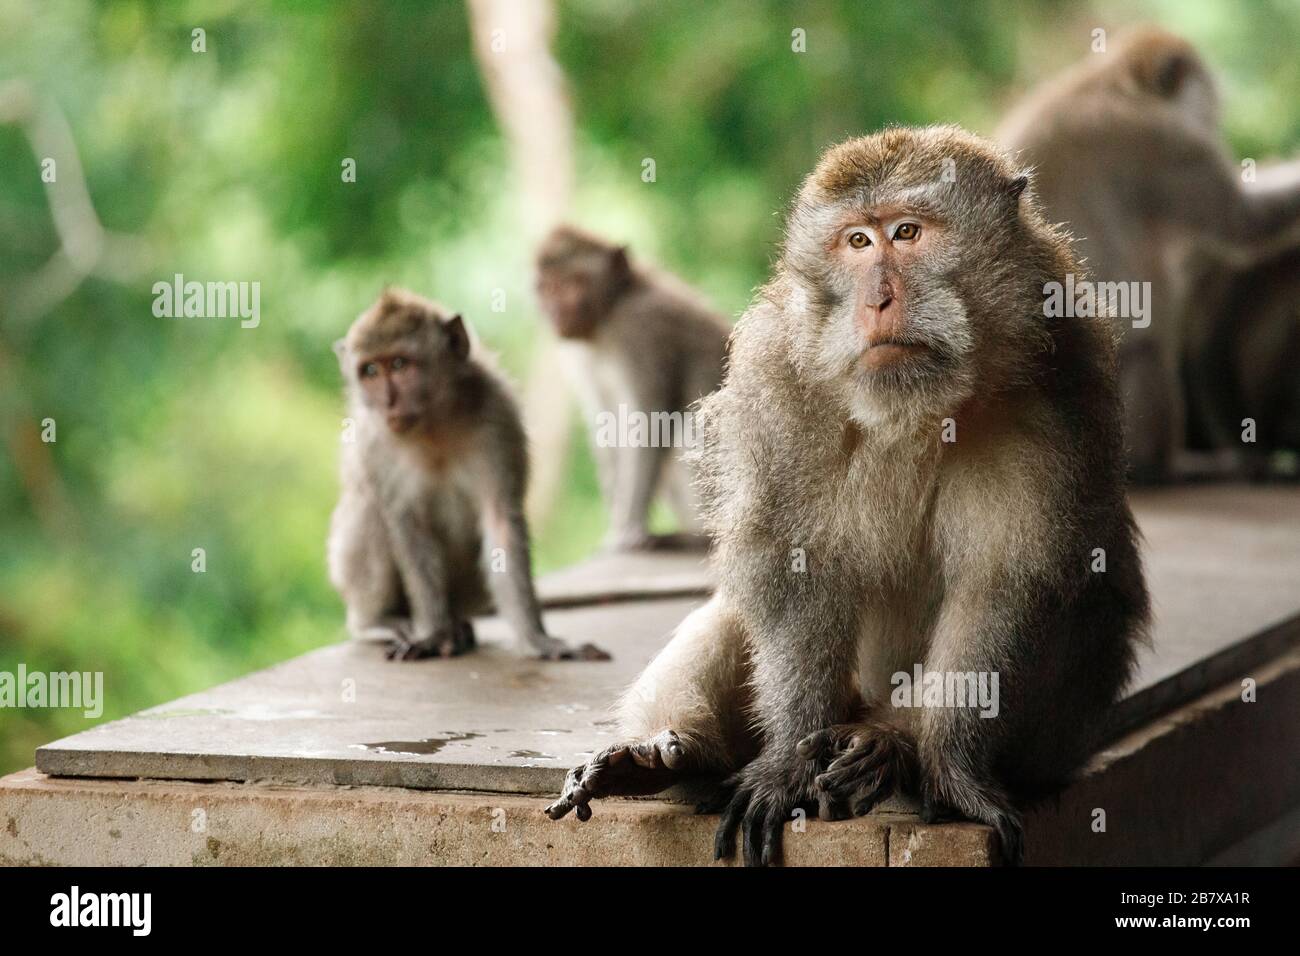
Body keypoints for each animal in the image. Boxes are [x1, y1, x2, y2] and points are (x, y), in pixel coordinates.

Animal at [328, 288, 608, 662]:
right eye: (370, 370)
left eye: (399, 364)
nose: (388, 402)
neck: (433, 426)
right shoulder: (375, 443)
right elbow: (408, 525)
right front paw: (433, 634)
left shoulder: (498, 416)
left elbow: (501, 521)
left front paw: (538, 640)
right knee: (369, 510)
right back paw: (380, 622)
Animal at [534, 226, 731, 551]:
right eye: (548, 288)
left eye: (573, 284)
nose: (557, 311)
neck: (608, 316)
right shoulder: (580, 355)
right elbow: (605, 422)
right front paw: (616, 522)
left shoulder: (641, 331)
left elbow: (650, 422)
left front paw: (630, 527)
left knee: (686, 430)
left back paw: (699, 535)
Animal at [996, 26, 1300, 482]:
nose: (1211, 120)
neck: (1107, 83)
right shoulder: (1166, 141)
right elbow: (1242, 222)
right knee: (1151, 353)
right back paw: (1172, 466)